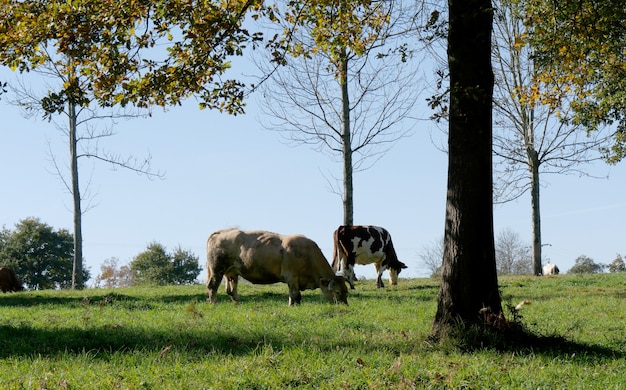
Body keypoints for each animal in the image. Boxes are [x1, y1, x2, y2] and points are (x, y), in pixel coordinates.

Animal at [206, 229, 348, 304]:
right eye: (337, 292)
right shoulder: (291, 277)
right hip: (217, 270)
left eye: (346, 291)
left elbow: (293, 295)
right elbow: (295, 295)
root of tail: (221, 232)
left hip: (231, 272)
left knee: (231, 290)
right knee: (212, 286)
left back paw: (238, 303)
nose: (344, 306)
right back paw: (214, 303)